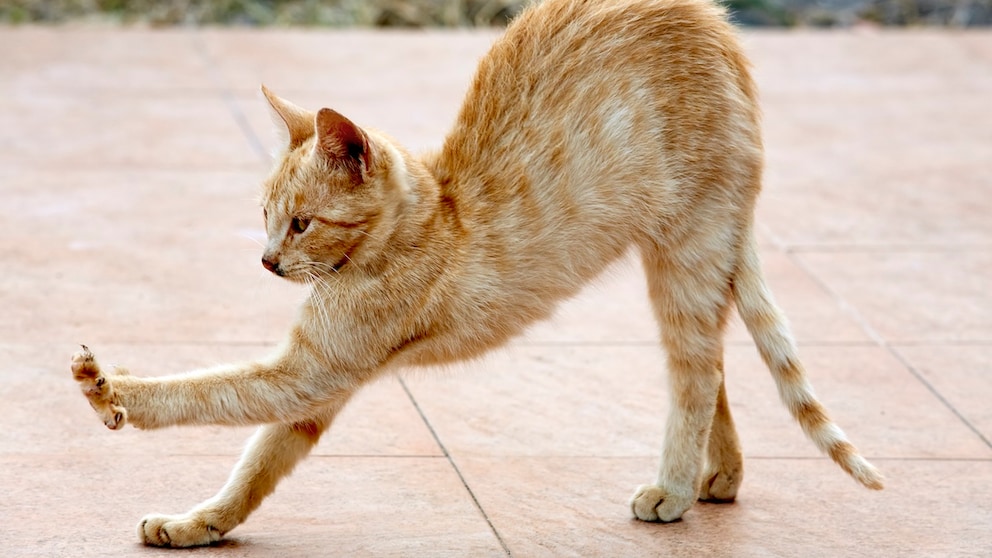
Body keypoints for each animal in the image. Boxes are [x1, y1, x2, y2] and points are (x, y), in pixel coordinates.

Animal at [73, 0, 884, 552]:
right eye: (265, 216)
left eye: (300, 223)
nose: (268, 260)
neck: (428, 220)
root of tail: (718, 27)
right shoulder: (315, 387)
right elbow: (254, 466)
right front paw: (200, 523)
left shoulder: (310, 370)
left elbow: (204, 391)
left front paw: (115, 391)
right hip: (687, 259)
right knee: (715, 364)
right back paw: (722, 479)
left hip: (686, 253)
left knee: (697, 371)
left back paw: (676, 489)